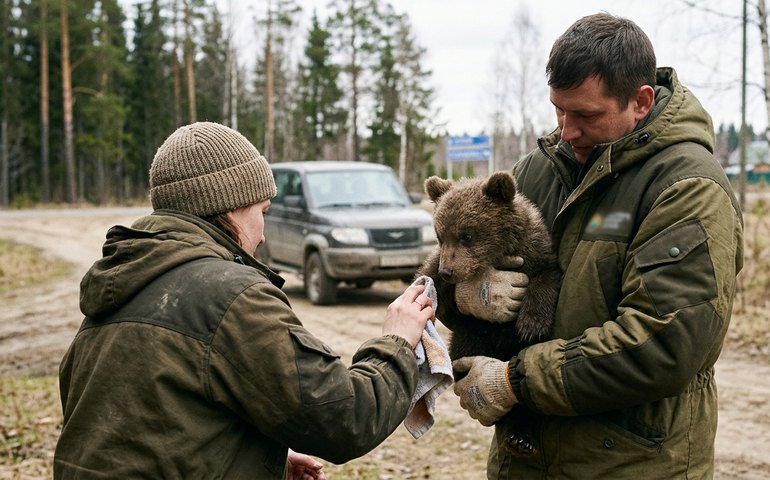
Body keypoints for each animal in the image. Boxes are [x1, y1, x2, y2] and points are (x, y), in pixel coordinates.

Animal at [417, 170, 561, 457]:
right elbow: (431, 283)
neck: (499, 256)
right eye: (439, 235)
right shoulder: (438, 264)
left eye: (466, 235)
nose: (449, 271)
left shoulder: (537, 253)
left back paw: (521, 437)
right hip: (471, 338)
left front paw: (531, 325)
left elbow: (545, 278)